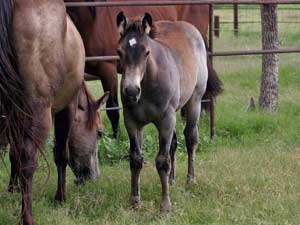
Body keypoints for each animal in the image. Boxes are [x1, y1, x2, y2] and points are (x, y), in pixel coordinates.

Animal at [0, 0, 88, 223]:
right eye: (99, 133)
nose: (86, 176)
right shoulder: (68, 106)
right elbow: (61, 153)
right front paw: (60, 197)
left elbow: (13, 154)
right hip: (40, 111)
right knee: (28, 161)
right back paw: (27, 218)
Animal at [115, 12, 211, 213]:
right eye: (119, 52)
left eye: (146, 52)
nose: (131, 91)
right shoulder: (132, 121)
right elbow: (136, 159)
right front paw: (135, 201)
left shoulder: (166, 119)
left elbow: (162, 161)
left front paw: (165, 206)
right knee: (174, 143)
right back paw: (172, 180)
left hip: (194, 102)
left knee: (190, 138)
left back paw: (190, 180)